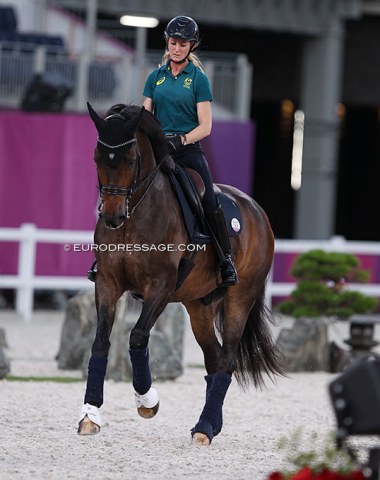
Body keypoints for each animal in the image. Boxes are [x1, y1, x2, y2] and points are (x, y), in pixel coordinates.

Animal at [78, 103, 282, 444]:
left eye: (130, 159)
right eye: (96, 157)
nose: (112, 217)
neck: (136, 214)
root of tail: (257, 210)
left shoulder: (160, 287)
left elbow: (137, 337)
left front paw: (147, 402)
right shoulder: (107, 283)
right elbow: (100, 342)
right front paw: (90, 415)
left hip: (240, 297)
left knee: (227, 359)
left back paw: (204, 428)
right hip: (199, 305)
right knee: (214, 359)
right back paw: (210, 425)